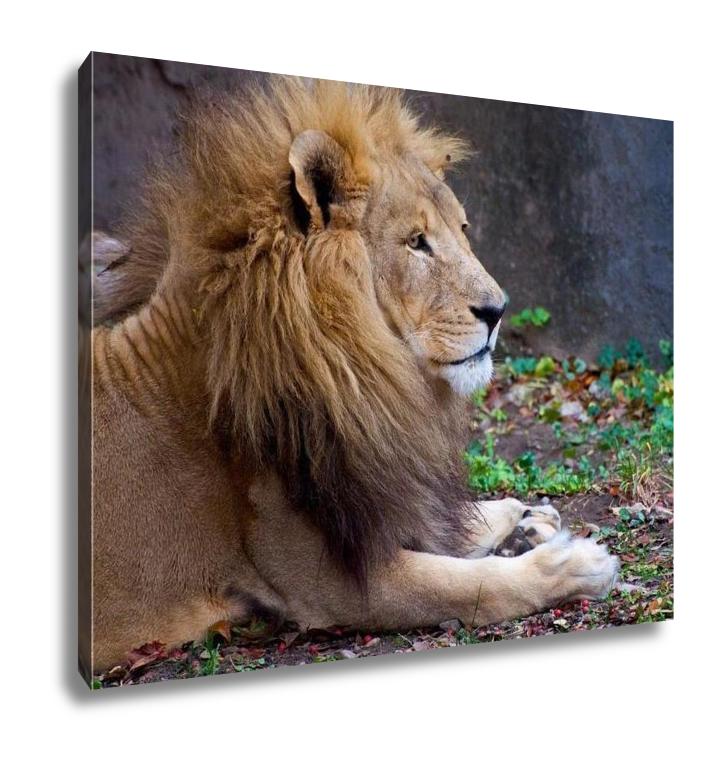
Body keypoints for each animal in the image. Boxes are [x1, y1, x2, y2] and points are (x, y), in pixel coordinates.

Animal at [87, 77, 618, 673]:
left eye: (462, 230)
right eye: (416, 242)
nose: (499, 310)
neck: (365, 376)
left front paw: (526, 520)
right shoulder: (327, 583)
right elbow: (468, 585)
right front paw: (574, 565)